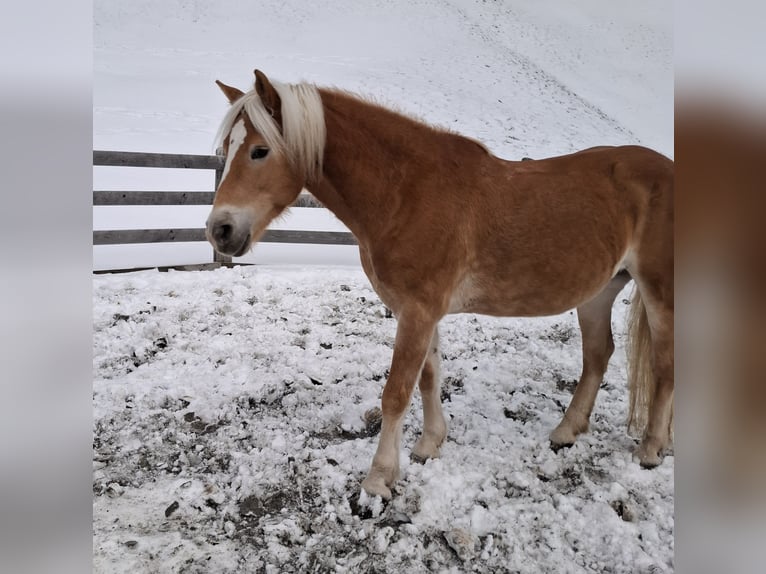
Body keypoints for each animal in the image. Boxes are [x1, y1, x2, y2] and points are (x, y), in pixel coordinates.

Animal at [206, 68, 672, 500]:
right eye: (225, 151)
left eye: (260, 151)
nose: (219, 230)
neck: (407, 192)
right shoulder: (418, 312)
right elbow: (429, 377)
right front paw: (429, 445)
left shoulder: (418, 311)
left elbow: (396, 392)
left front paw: (377, 482)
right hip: (600, 291)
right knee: (598, 355)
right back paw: (568, 431)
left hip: (659, 289)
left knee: (664, 366)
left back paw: (650, 449)